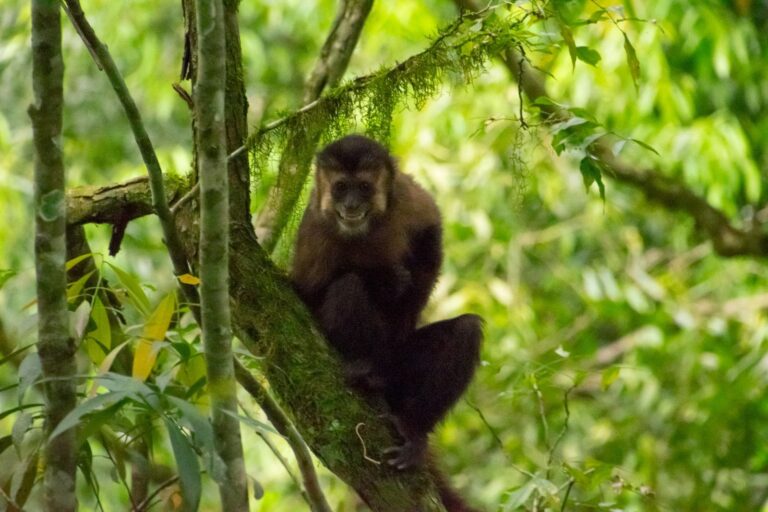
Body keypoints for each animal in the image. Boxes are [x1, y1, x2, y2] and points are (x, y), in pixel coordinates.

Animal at [291, 135, 483, 480]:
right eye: (341, 187)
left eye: (364, 187)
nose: (351, 206)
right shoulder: (315, 226)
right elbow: (305, 292)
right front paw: (385, 280)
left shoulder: (409, 198)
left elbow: (430, 240)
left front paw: (403, 301)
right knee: (348, 286)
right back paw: (363, 368)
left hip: (399, 369)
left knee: (466, 330)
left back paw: (413, 428)